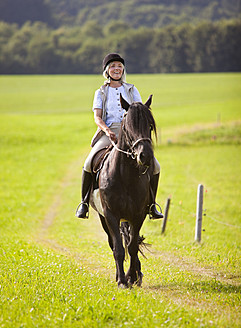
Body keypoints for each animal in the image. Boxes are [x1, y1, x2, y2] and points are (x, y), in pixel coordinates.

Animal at [90, 94, 156, 288]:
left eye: (150, 126)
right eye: (128, 126)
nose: (145, 156)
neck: (125, 175)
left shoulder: (138, 215)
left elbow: (133, 246)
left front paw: (132, 277)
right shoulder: (111, 215)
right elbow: (118, 249)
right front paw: (121, 281)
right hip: (103, 218)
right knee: (114, 243)